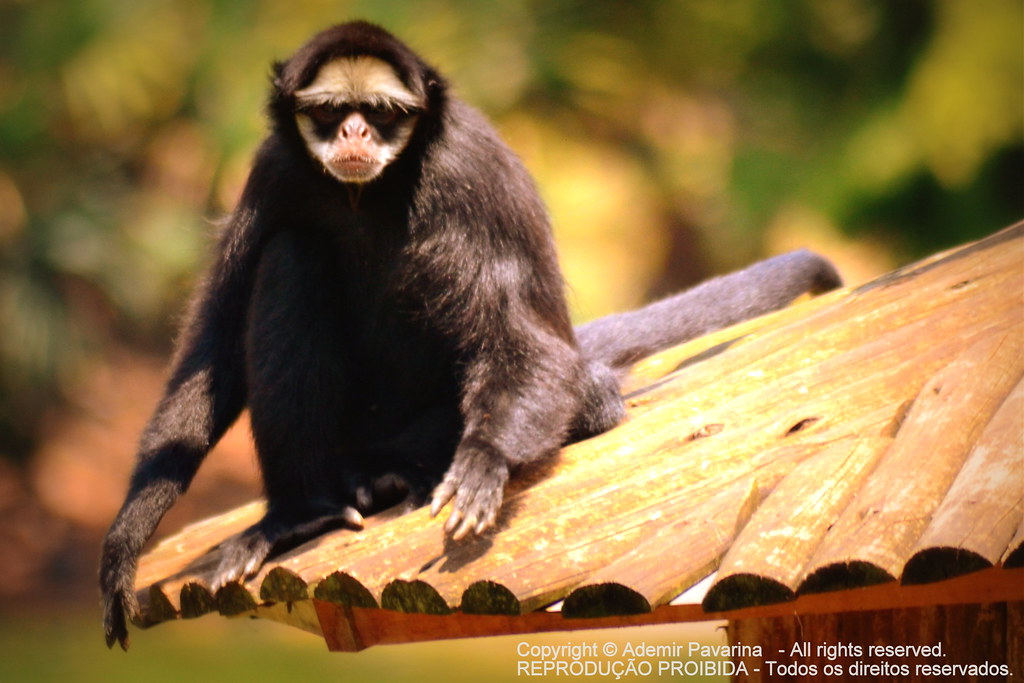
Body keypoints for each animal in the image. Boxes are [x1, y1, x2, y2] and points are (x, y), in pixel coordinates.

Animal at [99, 21, 841, 650]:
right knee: (292, 254)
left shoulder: (466, 167)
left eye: (384, 113)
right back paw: (302, 512)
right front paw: (131, 530)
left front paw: (485, 458)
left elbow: (529, 341)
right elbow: (215, 345)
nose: (355, 131)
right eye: (331, 110)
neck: (369, 192)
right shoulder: (275, 168)